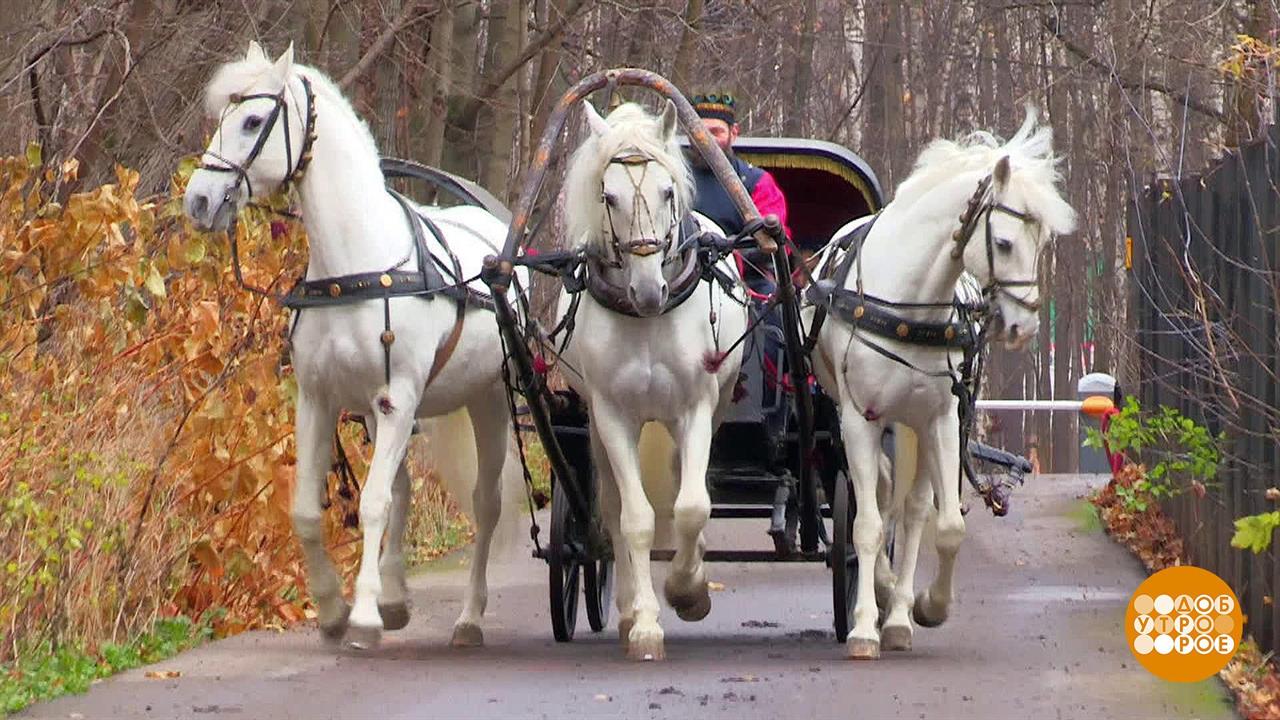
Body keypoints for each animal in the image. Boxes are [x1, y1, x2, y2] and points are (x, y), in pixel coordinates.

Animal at [181, 43, 519, 650]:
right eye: (222, 117)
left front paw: (361, 617)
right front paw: (335, 608)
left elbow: (373, 502)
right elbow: (308, 509)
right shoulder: (322, 400)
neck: (356, 268)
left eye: (252, 120)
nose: (198, 200)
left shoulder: (397, 399)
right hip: (378, 413)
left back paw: (468, 618)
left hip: (488, 400)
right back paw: (395, 595)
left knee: (485, 504)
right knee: (405, 487)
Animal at [552, 101, 747, 655]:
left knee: (685, 481)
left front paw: (688, 591)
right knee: (614, 506)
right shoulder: (612, 414)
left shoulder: (696, 407)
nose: (647, 290)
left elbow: (692, 506)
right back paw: (623, 611)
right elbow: (634, 518)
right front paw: (643, 624)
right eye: (608, 196)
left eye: (666, 192)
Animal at [808, 110, 1080, 655]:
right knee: (880, 501)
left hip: (915, 425)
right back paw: (882, 592)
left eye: (1041, 243)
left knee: (911, 509)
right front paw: (864, 626)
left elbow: (947, 524)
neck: (907, 305)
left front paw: (927, 606)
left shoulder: (941, 418)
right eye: (1003, 242)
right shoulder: (859, 420)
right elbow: (866, 526)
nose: (1023, 328)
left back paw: (897, 612)